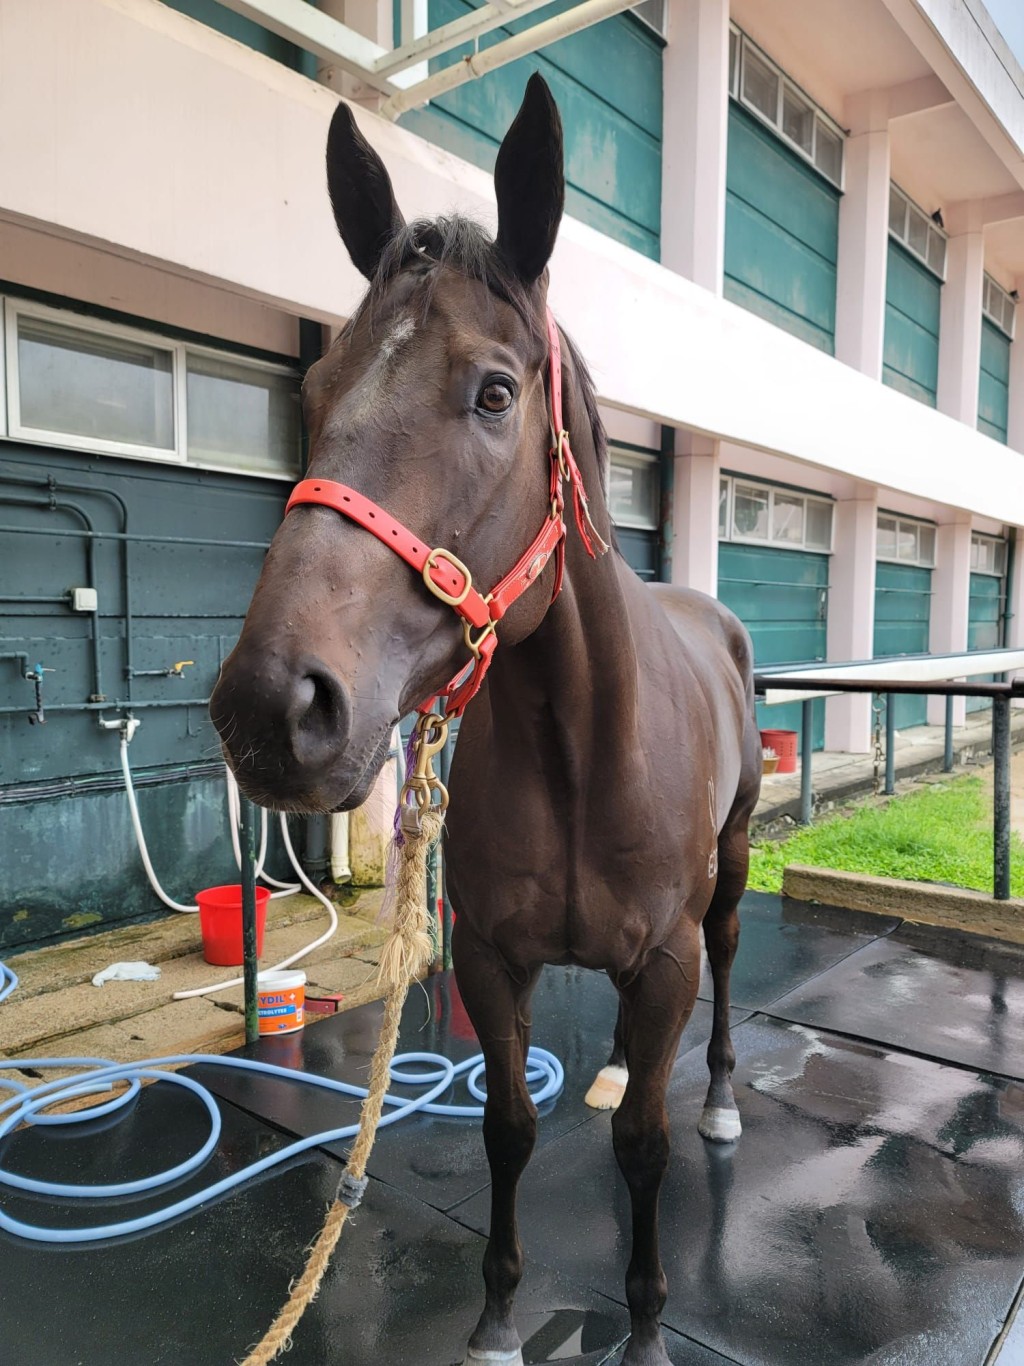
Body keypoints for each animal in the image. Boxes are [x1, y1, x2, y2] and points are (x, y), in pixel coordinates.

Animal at [212, 72, 764, 1366]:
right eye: (313, 391)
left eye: (495, 392)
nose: (272, 707)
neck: (583, 751)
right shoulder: (493, 960)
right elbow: (508, 1127)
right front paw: (499, 1318)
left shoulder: (663, 957)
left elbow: (645, 1148)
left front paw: (648, 1323)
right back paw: (610, 1070)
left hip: (725, 874)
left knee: (720, 976)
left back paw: (715, 1096)